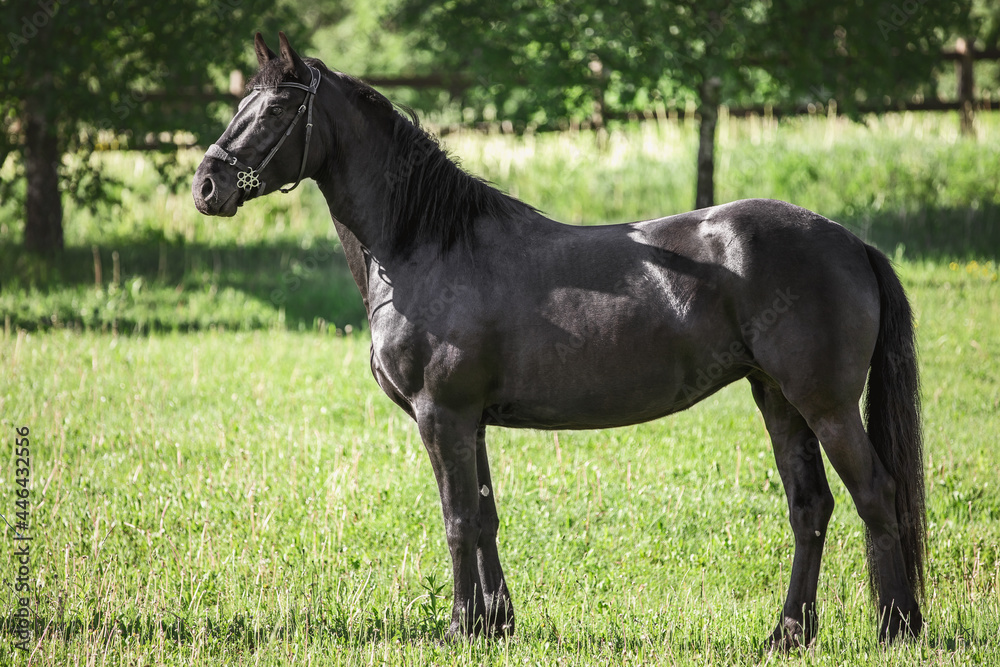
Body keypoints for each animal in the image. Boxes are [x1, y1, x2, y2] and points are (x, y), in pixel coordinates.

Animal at [191, 34, 924, 648]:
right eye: (241, 102)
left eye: (276, 107)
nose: (207, 186)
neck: (428, 245)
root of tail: (850, 241)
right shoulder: (471, 420)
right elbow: (485, 517)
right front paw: (494, 626)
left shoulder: (441, 414)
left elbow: (457, 518)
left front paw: (458, 629)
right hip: (778, 400)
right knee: (811, 507)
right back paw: (789, 634)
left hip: (825, 405)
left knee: (876, 495)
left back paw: (898, 628)